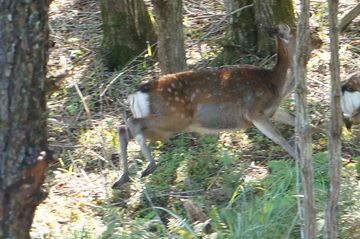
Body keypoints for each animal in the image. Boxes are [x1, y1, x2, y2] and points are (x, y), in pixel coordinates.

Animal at [113, 24, 300, 189]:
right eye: (299, 31)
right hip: (174, 117)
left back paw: (122, 178)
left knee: (125, 129)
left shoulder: (272, 111)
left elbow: (293, 119)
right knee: (132, 122)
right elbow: (278, 137)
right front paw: (298, 157)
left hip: (163, 128)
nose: (315, 40)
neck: (277, 85)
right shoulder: (253, 110)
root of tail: (136, 94)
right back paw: (149, 166)